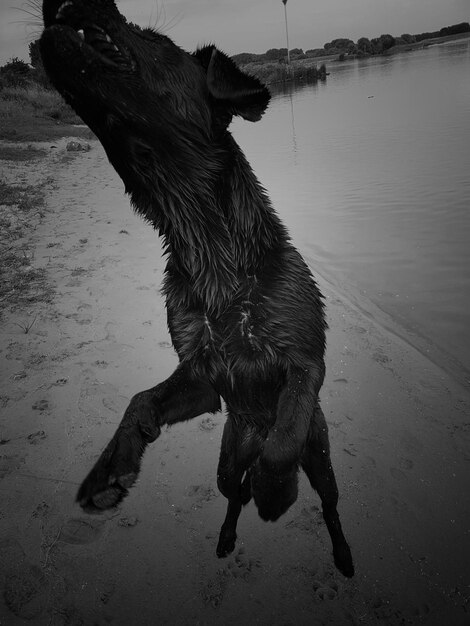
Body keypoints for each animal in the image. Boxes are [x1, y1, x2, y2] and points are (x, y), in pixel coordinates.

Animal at [40, 0, 354, 576]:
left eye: (155, 40)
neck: (209, 249)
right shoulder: (204, 378)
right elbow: (140, 400)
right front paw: (111, 467)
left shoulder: (305, 362)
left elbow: (283, 441)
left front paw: (277, 491)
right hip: (228, 459)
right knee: (233, 493)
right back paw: (227, 535)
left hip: (321, 458)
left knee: (325, 501)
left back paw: (338, 549)